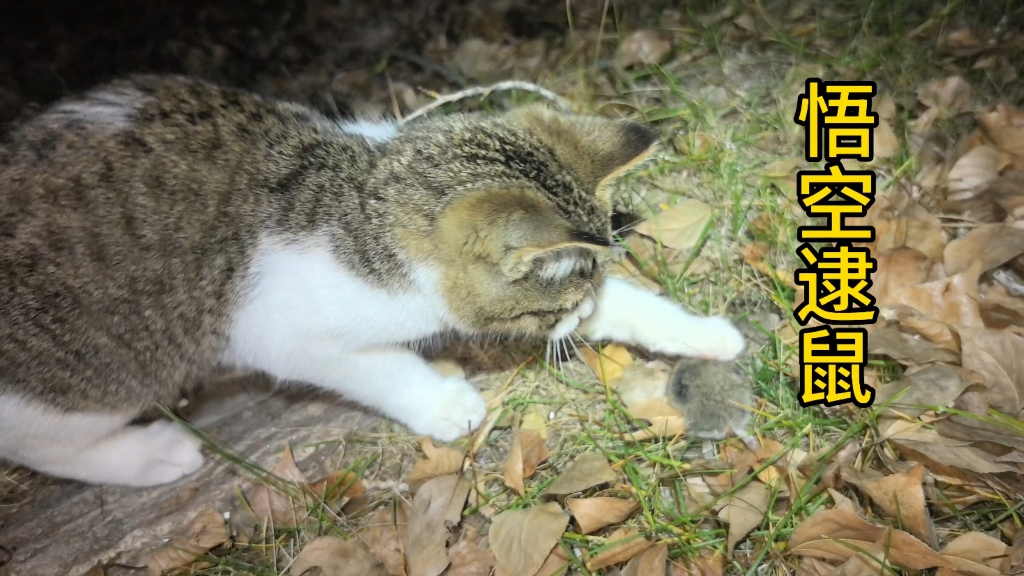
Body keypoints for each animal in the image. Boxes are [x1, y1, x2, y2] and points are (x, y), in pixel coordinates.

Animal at [0, 75, 741, 483]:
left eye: (584, 291)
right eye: (545, 310)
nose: (577, 321)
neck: (363, 202)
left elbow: (635, 306)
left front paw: (703, 334)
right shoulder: (277, 334)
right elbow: (375, 367)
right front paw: (443, 403)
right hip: (90, 372)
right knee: (39, 441)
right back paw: (149, 456)